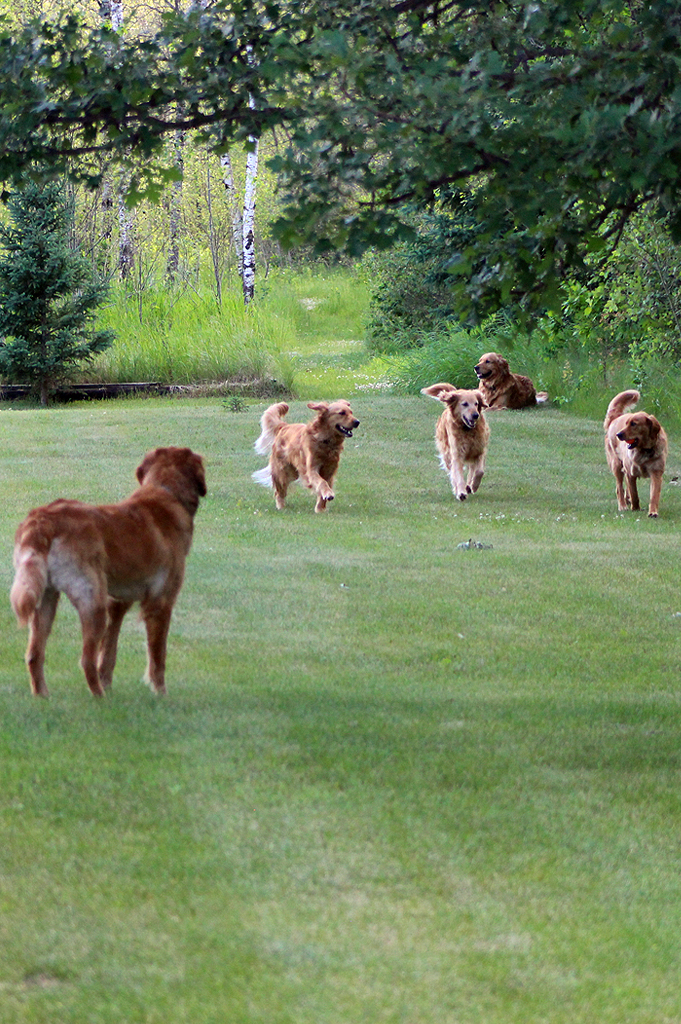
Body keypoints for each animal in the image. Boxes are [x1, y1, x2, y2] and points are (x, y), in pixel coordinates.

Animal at [9, 448, 205, 696]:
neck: (164, 490)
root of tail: (42, 521)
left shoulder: (118, 602)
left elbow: (109, 651)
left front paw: (108, 682)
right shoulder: (160, 601)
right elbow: (157, 657)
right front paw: (160, 693)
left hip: (45, 599)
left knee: (35, 655)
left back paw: (44, 697)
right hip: (92, 602)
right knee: (86, 660)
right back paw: (100, 698)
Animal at [602, 391, 667, 520]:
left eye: (633, 424)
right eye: (626, 423)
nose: (618, 434)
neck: (645, 450)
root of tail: (615, 418)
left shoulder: (656, 473)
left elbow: (654, 495)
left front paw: (653, 512)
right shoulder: (630, 472)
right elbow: (634, 493)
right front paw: (635, 508)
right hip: (617, 465)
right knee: (619, 488)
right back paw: (623, 505)